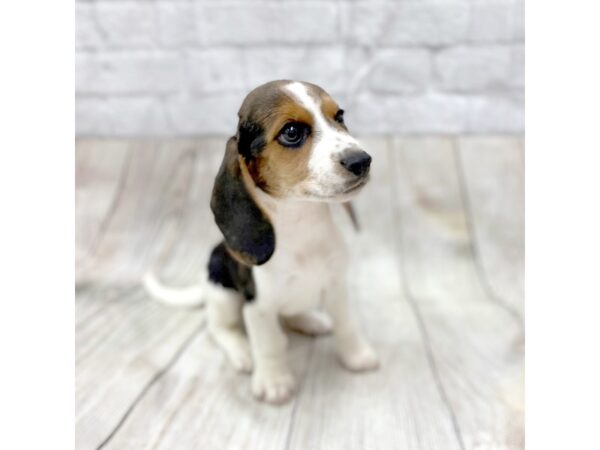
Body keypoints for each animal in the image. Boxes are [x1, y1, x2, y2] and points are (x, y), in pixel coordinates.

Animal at [145, 80, 378, 404]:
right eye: (291, 132)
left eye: (340, 116)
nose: (362, 160)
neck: (302, 223)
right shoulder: (258, 308)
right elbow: (269, 345)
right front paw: (273, 382)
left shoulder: (336, 288)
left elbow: (347, 325)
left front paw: (357, 356)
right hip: (223, 294)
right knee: (219, 328)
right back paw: (241, 351)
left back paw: (309, 320)